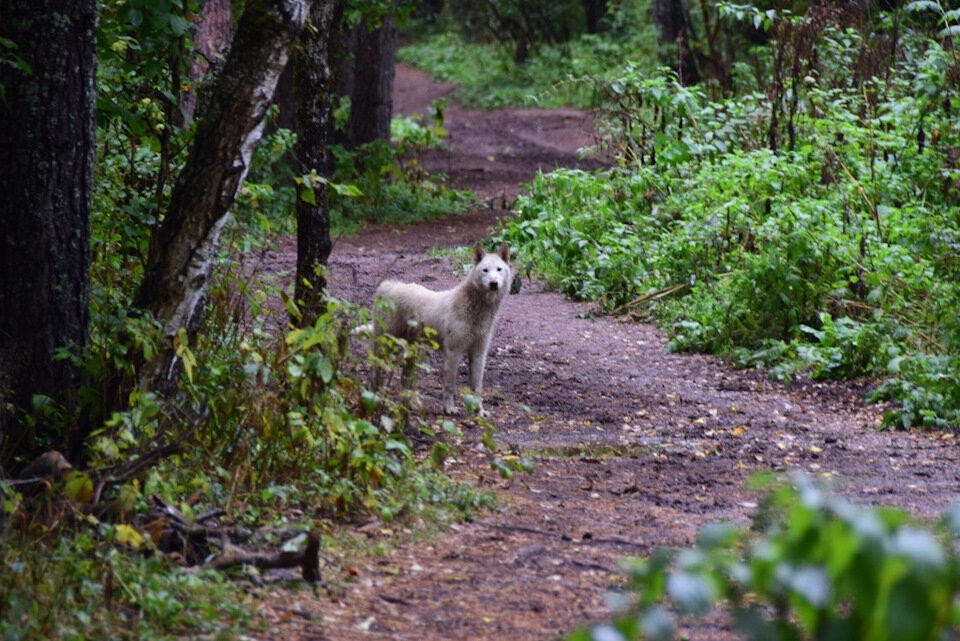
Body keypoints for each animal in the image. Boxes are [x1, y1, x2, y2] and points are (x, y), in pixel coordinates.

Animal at [372, 241, 512, 416]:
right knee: (376, 371)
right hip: (387, 347)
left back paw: (408, 405)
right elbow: (450, 385)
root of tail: (387, 286)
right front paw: (449, 409)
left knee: (405, 379)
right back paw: (374, 398)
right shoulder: (453, 352)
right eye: (485, 270)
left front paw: (479, 411)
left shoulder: (479, 354)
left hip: (411, 352)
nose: (494, 283)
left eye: (499, 269)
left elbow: (477, 388)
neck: (477, 309)